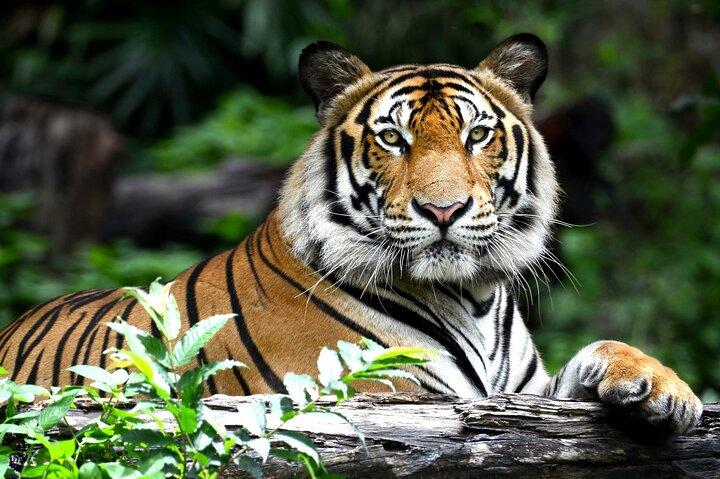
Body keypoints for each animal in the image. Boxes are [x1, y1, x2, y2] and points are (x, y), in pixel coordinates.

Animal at [0, 34, 702, 433]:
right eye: (393, 138)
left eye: (478, 134)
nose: (443, 210)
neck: (474, 298)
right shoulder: (384, 397)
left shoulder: (525, 397)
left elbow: (600, 351)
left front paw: (664, 388)